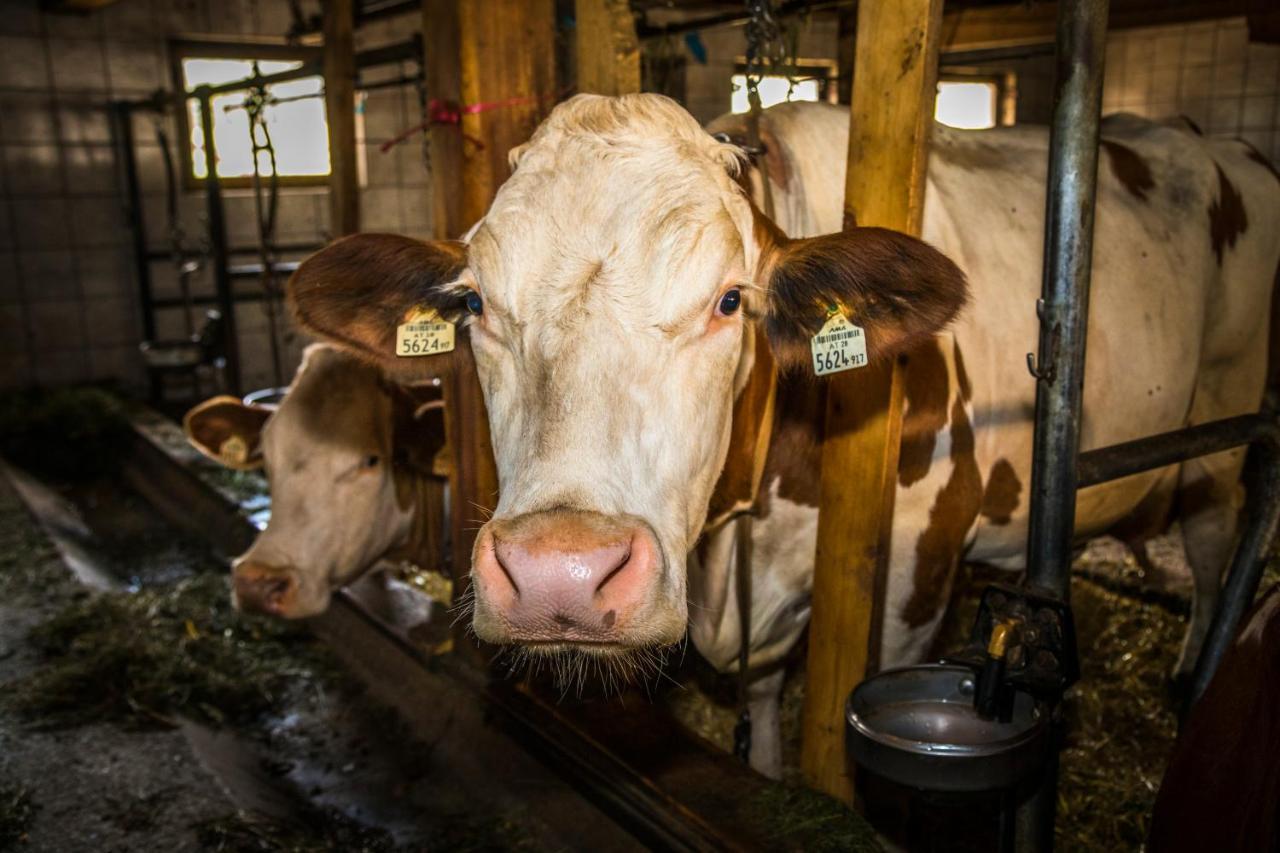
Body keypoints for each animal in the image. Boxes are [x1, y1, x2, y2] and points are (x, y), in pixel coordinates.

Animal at [282, 96, 1280, 773]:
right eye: (478, 304)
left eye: (731, 300)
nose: (557, 573)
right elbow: (759, 701)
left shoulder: (917, 575)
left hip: (1223, 436)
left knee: (1213, 541)